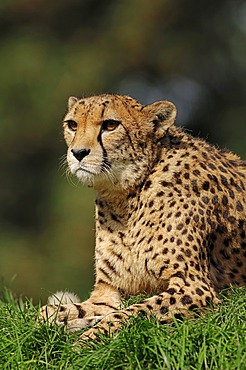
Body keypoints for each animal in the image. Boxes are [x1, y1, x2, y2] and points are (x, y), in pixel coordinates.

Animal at [40, 93, 246, 342]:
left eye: (110, 125)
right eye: (72, 124)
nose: (78, 153)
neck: (125, 196)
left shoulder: (195, 287)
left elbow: (131, 313)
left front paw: (88, 339)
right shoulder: (107, 293)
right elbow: (46, 313)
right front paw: (69, 321)